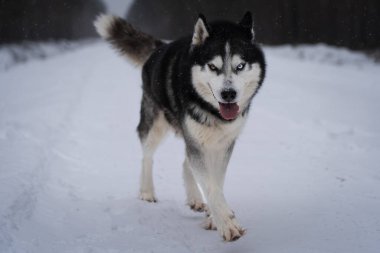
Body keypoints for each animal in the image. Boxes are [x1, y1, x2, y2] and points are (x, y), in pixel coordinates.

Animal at [94, 11, 266, 241]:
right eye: (213, 66)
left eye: (240, 66)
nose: (228, 94)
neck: (213, 112)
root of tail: (159, 48)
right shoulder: (198, 142)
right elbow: (211, 186)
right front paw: (227, 223)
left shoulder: (222, 144)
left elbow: (216, 183)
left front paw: (215, 218)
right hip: (156, 125)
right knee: (147, 156)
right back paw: (147, 191)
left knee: (186, 163)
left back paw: (194, 198)